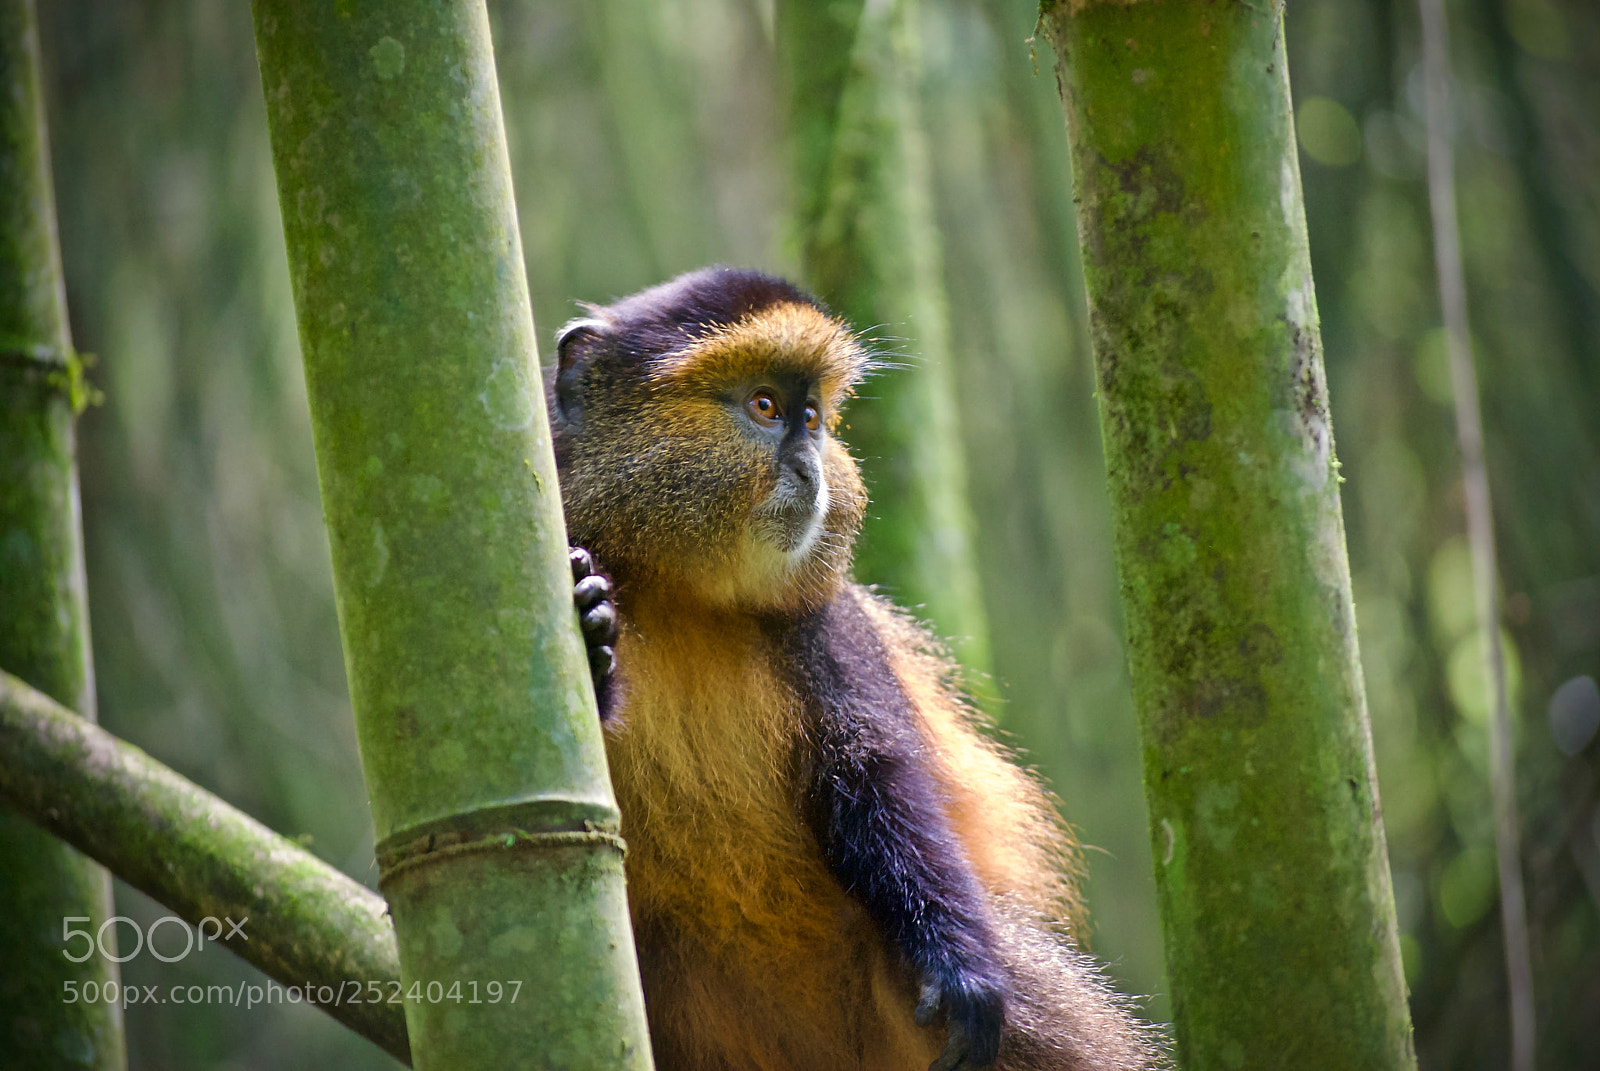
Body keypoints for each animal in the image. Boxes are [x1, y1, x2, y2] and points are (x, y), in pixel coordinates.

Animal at [555, 266, 1162, 1071]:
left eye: (812, 419)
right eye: (764, 406)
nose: (810, 468)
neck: (680, 589)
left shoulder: (830, 631)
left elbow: (876, 769)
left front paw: (961, 968)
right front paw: (591, 636)